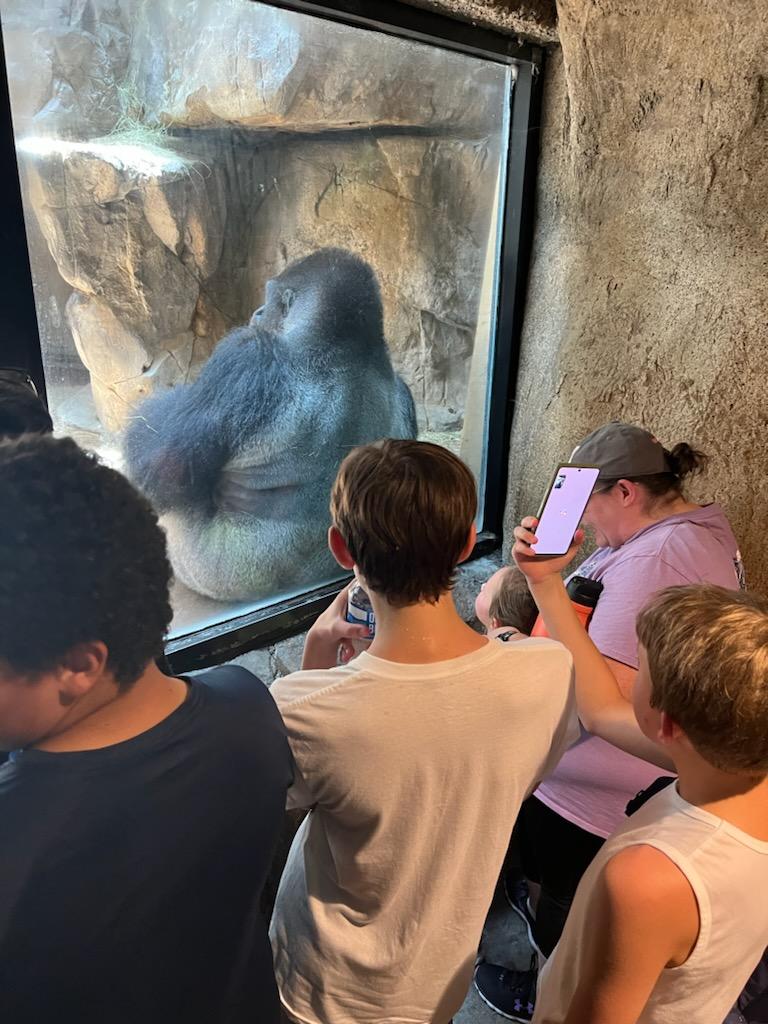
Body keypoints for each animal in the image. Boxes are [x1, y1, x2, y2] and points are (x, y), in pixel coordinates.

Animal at [123, 248, 417, 603]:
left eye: (270, 300)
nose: (258, 312)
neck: (347, 347)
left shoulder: (248, 353)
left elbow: (158, 467)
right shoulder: (404, 390)